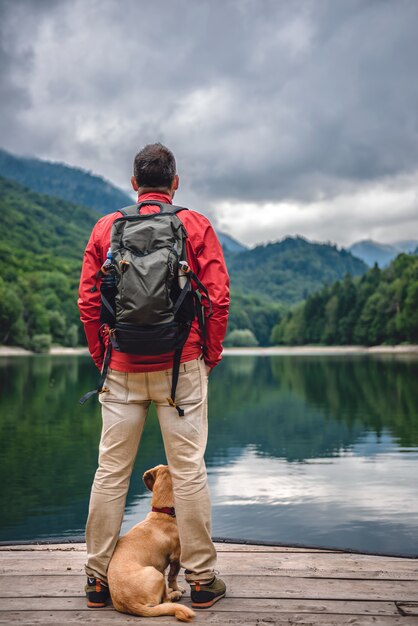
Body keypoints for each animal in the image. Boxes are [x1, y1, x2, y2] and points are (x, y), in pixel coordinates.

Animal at [106, 464, 194, 620]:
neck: (163, 514)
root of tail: (132, 604)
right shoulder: (176, 557)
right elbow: (173, 577)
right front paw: (177, 588)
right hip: (156, 573)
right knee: (165, 600)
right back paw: (175, 594)